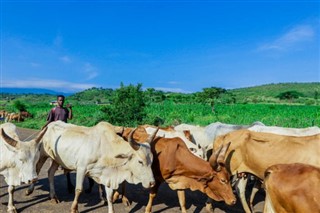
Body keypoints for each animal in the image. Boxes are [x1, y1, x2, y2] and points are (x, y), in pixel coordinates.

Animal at [27, 120, 158, 213]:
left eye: (152, 161)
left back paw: (53, 196)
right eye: (140, 161)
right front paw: (74, 208)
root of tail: (49, 124)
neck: (105, 148)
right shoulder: (81, 168)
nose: (152, 183)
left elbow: (109, 196)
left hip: (56, 159)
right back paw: (30, 190)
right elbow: (79, 190)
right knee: (37, 169)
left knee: (50, 172)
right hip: (43, 154)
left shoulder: (107, 175)